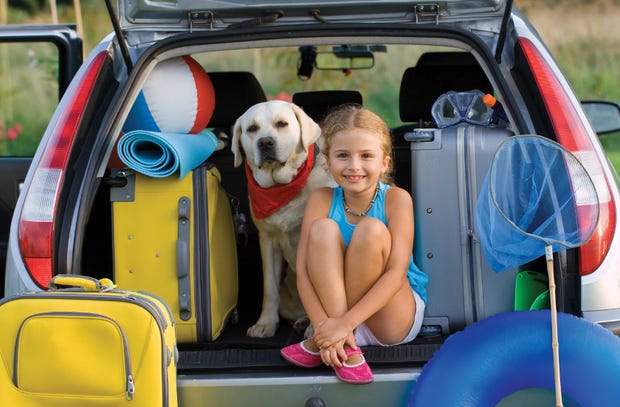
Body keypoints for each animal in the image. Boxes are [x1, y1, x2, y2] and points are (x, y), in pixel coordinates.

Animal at [232, 100, 334, 340]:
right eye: (252, 129)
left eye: (282, 124)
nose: (265, 142)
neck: (282, 188)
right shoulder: (268, 241)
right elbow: (269, 289)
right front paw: (265, 324)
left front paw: (317, 328)